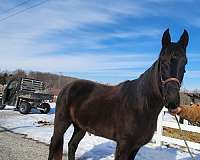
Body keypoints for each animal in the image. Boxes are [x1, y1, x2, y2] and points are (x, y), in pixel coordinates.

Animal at [48, 29, 189, 160]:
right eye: (163, 61)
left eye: (185, 63)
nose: (172, 101)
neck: (141, 105)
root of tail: (67, 87)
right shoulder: (123, 145)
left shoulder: (135, 147)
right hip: (62, 123)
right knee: (53, 143)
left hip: (80, 127)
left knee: (72, 145)